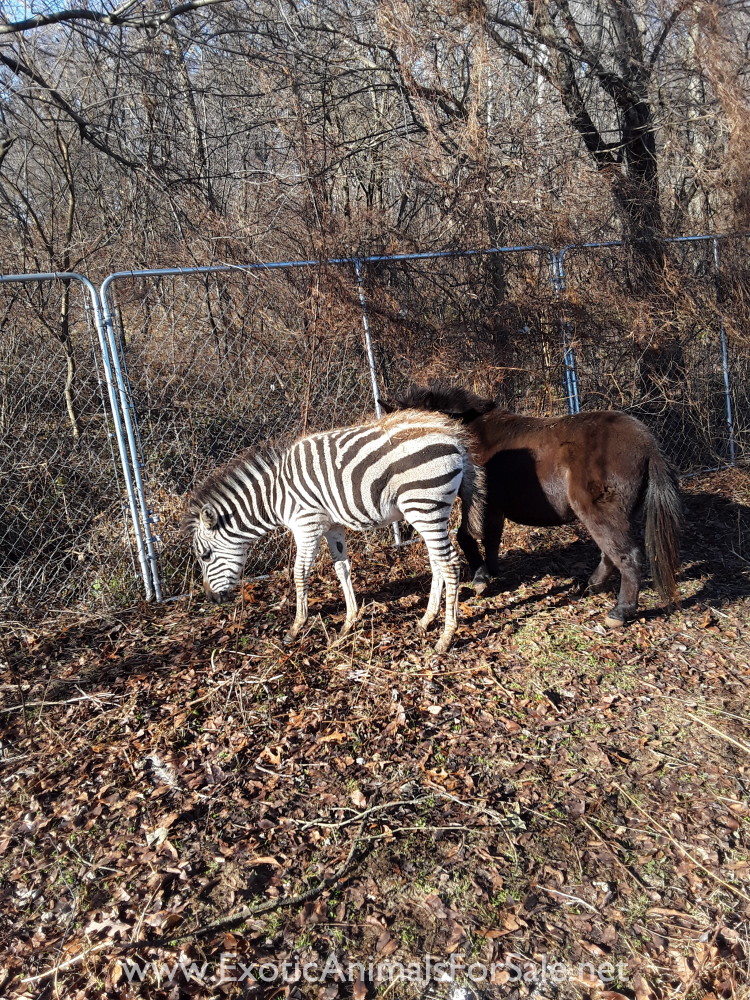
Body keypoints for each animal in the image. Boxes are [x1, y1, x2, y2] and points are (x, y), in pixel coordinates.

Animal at [183, 409, 484, 653]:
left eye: (205, 556)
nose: (211, 599)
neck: (275, 496)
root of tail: (453, 435)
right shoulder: (332, 526)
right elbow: (342, 568)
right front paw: (349, 622)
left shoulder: (307, 524)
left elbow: (300, 573)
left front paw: (296, 628)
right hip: (429, 511)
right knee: (437, 562)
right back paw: (426, 620)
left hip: (424, 505)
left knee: (450, 563)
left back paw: (446, 637)